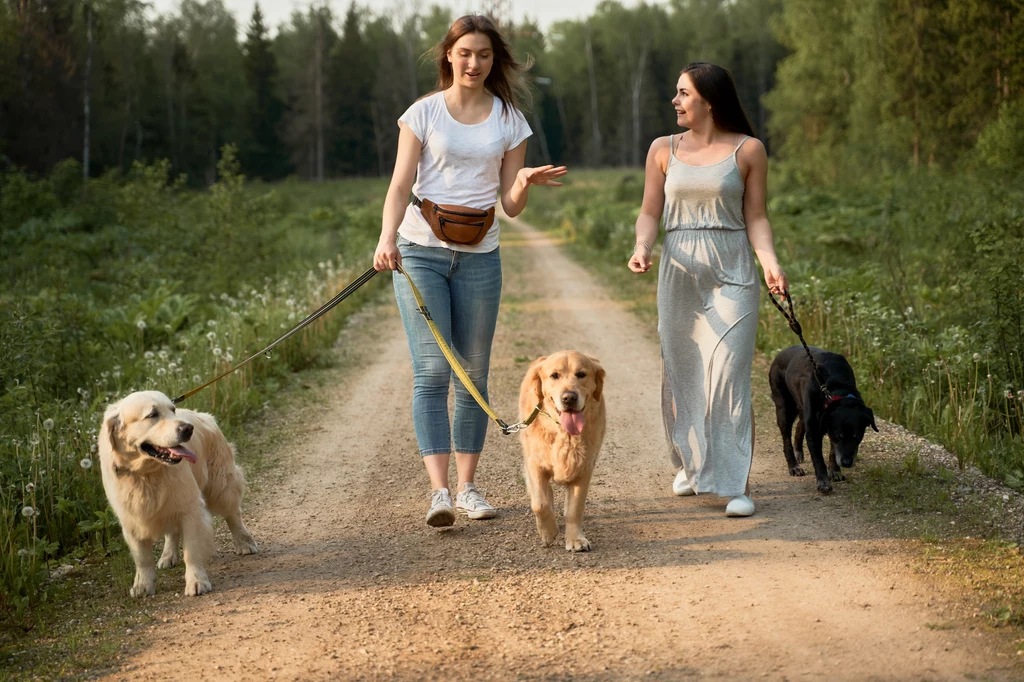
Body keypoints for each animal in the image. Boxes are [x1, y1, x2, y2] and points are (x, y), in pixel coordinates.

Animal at [97, 387, 256, 593]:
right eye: (152, 414)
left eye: (172, 410)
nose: (187, 429)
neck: (146, 474)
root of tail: (203, 415)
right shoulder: (131, 518)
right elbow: (142, 557)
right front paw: (142, 585)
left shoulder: (191, 509)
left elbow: (192, 551)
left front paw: (196, 581)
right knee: (172, 531)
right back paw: (168, 556)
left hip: (222, 485)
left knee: (233, 515)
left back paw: (245, 543)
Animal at [516, 348, 602, 548]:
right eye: (554, 375)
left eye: (581, 374)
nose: (569, 397)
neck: (565, 433)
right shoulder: (535, 465)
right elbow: (540, 504)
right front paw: (549, 531)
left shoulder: (584, 468)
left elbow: (575, 508)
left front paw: (575, 539)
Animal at [770, 348, 876, 491]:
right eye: (839, 436)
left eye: (857, 437)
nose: (847, 463)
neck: (835, 391)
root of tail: (780, 353)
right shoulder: (815, 431)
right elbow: (818, 459)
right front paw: (824, 482)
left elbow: (833, 451)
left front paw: (835, 471)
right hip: (784, 408)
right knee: (787, 440)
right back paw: (794, 466)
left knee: (800, 425)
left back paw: (799, 452)